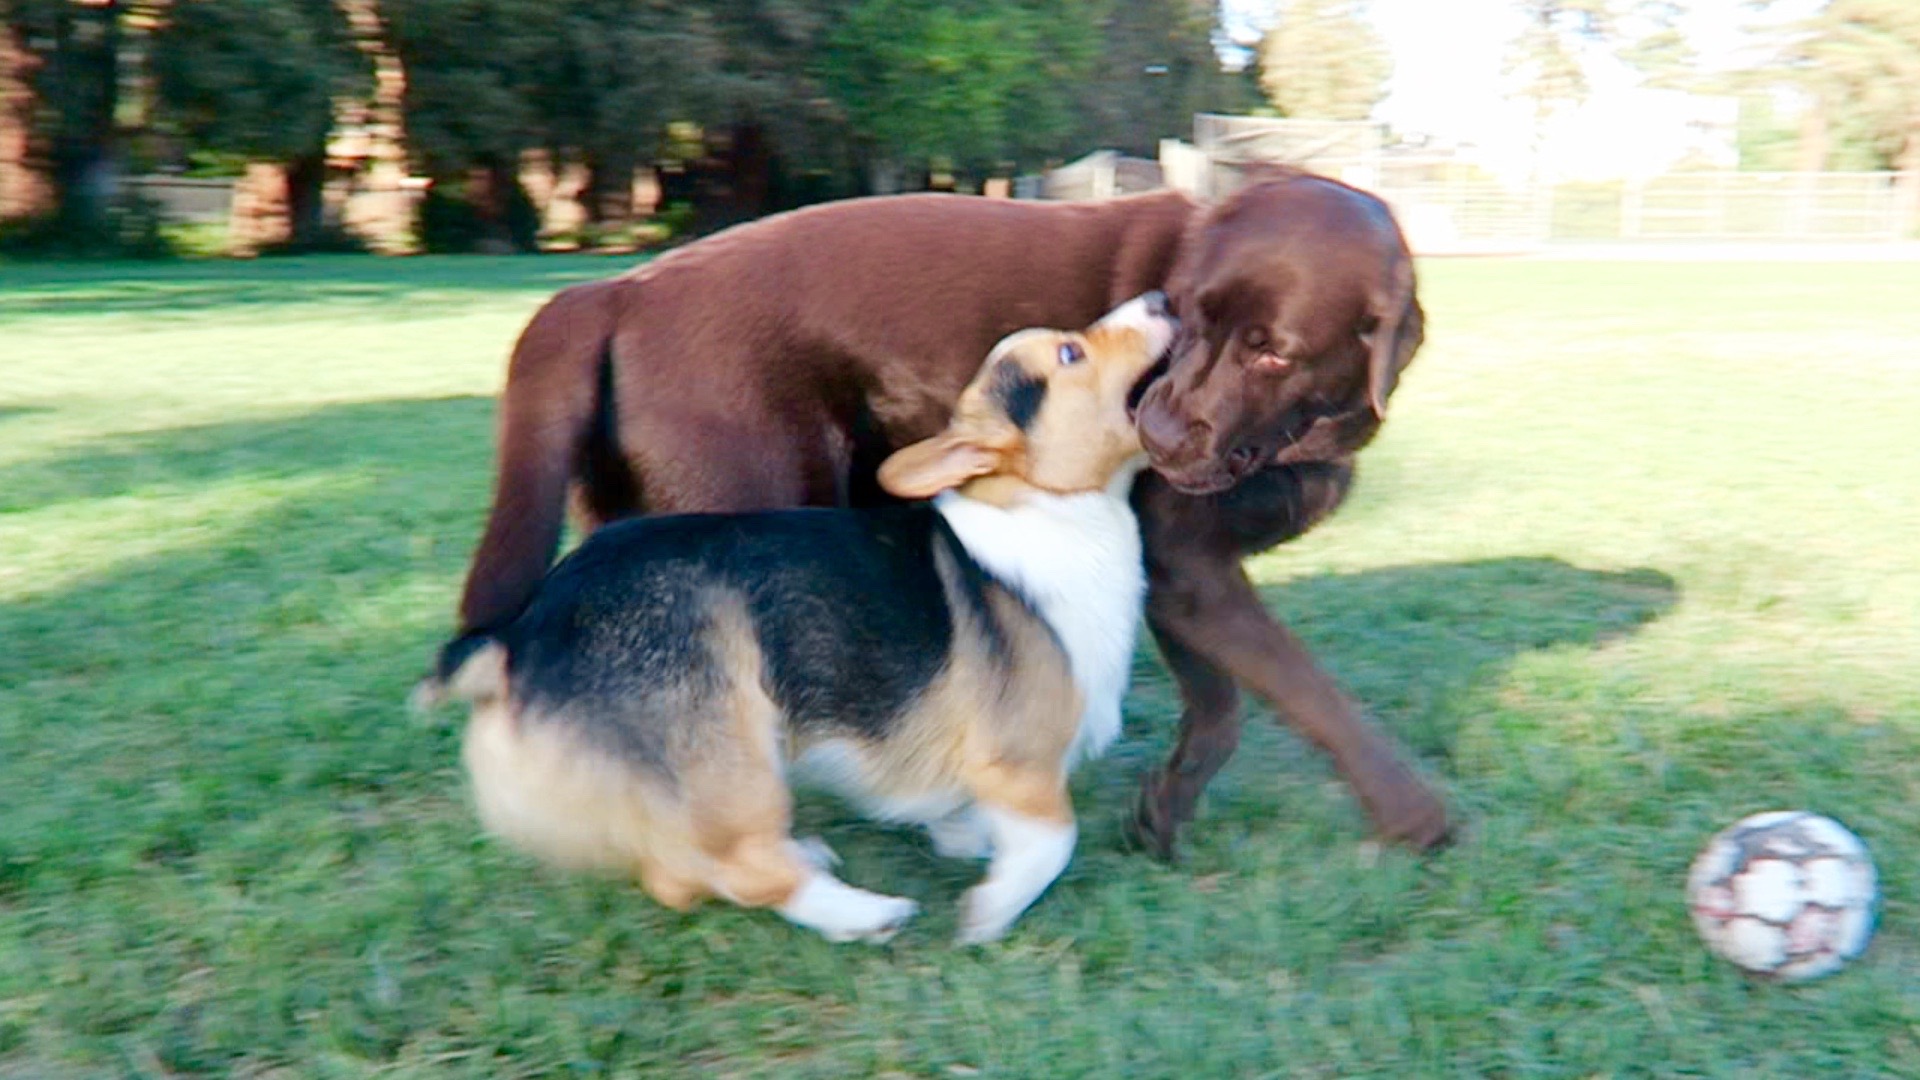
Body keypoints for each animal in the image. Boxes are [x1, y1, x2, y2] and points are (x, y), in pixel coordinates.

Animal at [414, 290, 1175, 937]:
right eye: (1071, 353)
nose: (1163, 299)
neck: (1049, 508)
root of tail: (517, 635)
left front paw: (963, 841)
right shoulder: (1021, 765)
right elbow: (1052, 841)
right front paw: (989, 910)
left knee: (677, 873)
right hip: (736, 757)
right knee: (745, 869)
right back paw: (864, 914)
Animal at [449, 168, 1443, 853]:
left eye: (1272, 352)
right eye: (1192, 316)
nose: (1153, 432)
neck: (1303, 434)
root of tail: (615, 288)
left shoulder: (1178, 578)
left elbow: (1221, 707)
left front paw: (1161, 816)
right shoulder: (1189, 567)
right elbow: (1309, 692)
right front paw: (1416, 816)